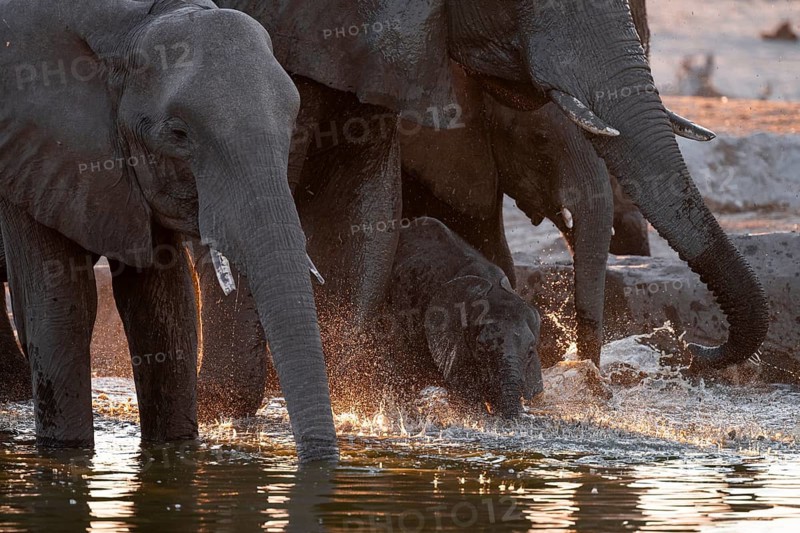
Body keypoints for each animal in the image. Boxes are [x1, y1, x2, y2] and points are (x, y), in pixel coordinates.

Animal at [0, 0, 337, 462]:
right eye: (178, 134)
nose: (321, 466)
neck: (129, 24)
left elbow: (166, 308)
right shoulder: (28, 149)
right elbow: (60, 308)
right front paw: (66, 453)